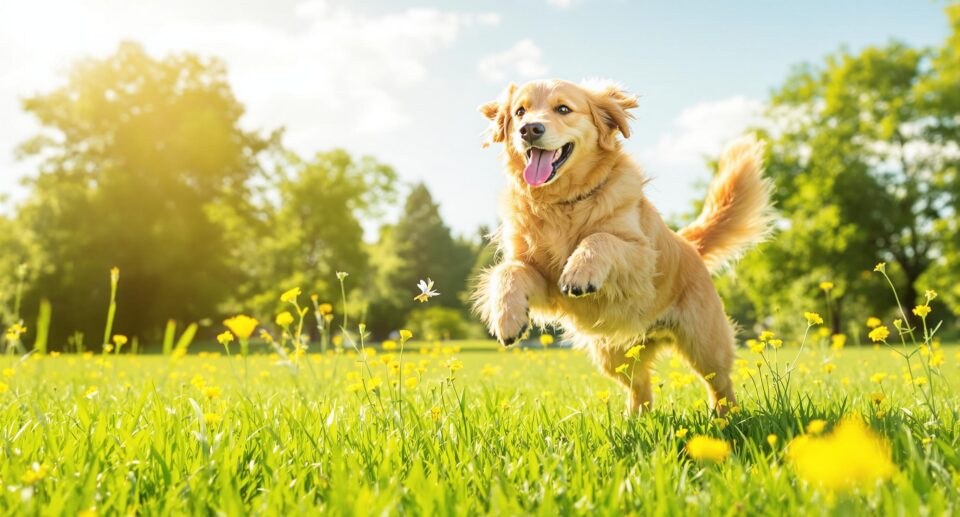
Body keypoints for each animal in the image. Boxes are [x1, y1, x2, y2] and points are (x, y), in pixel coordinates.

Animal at [472, 78, 772, 414]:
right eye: (520, 112)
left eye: (563, 109)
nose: (529, 130)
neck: (563, 203)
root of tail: (688, 244)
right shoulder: (544, 281)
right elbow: (507, 271)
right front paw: (507, 319)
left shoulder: (642, 259)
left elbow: (600, 238)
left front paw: (579, 271)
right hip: (614, 355)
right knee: (641, 387)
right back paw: (636, 419)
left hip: (705, 342)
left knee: (719, 382)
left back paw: (725, 417)